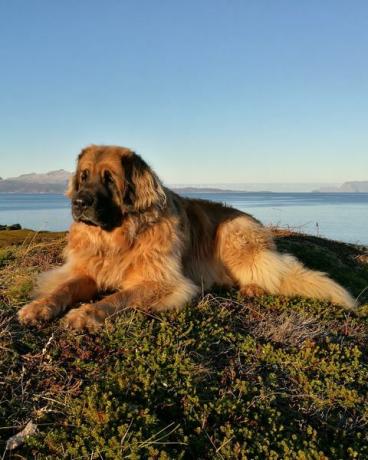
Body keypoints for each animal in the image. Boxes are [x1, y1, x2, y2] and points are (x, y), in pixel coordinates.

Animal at [18, 145, 356, 330]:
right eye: (84, 176)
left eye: (109, 179)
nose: (78, 203)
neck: (119, 237)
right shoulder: (88, 271)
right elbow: (64, 287)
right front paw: (39, 307)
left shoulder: (161, 281)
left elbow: (117, 297)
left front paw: (86, 314)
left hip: (234, 237)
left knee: (274, 273)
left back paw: (251, 288)